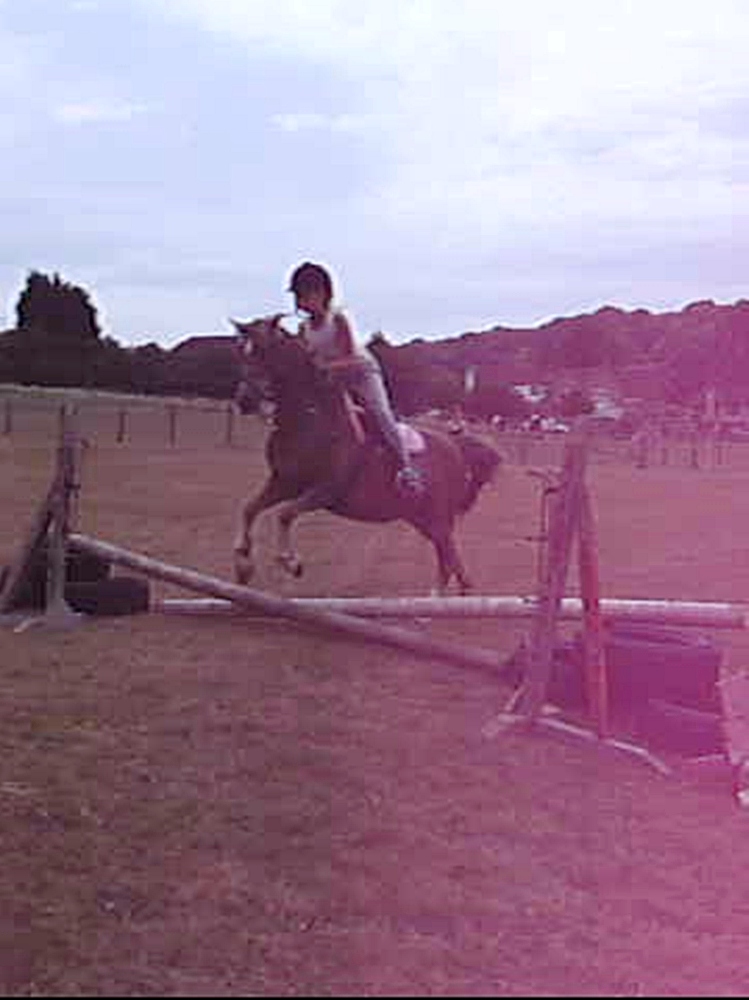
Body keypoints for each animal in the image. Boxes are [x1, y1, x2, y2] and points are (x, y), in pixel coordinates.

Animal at [231, 315, 501, 594]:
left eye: (265, 351)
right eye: (242, 352)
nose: (244, 400)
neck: (310, 419)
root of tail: (456, 447)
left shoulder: (326, 491)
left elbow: (284, 514)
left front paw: (291, 562)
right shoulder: (284, 482)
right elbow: (249, 508)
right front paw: (243, 564)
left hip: (436, 517)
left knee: (451, 557)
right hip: (420, 518)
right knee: (447, 557)